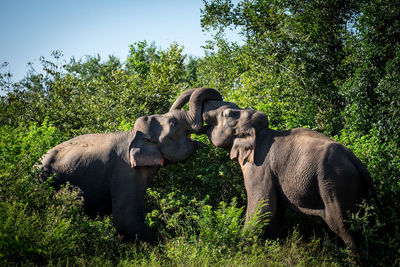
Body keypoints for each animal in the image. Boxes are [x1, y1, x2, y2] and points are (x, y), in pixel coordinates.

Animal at [38, 88, 222, 243]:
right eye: (173, 123)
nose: (216, 101)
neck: (134, 136)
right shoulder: (125, 173)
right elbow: (126, 220)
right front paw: (166, 245)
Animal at [172, 89, 378, 250]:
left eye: (226, 114)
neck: (260, 132)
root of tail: (356, 161)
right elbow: (276, 214)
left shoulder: (259, 168)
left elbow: (263, 208)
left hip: (335, 182)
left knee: (343, 225)